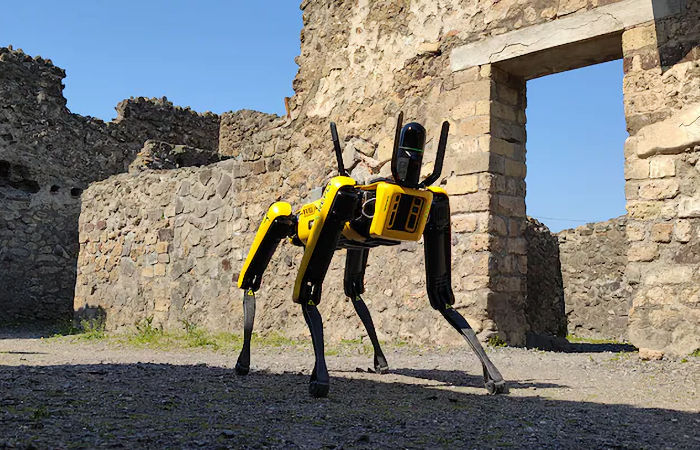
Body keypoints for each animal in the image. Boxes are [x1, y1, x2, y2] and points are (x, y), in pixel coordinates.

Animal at [238, 115, 506, 398]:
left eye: (412, 209)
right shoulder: (341, 198)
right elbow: (308, 294)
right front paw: (319, 376)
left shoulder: (437, 206)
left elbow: (442, 298)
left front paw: (491, 373)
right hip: (293, 222)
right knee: (271, 232)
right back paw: (243, 358)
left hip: (353, 245)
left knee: (354, 288)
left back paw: (380, 360)